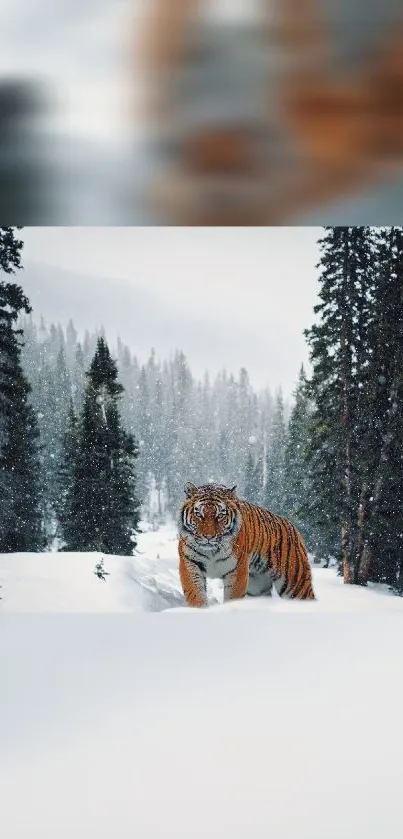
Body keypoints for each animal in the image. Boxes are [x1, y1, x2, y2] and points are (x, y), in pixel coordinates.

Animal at [179, 482, 316, 608]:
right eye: (198, 514)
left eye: (220, 515)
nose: (208, 537)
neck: (212, 551)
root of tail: (293, 527)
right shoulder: (190, 564)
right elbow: (195, 593)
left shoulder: (237, 570)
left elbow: (233, 596)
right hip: (258, 586)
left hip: (296, 584)